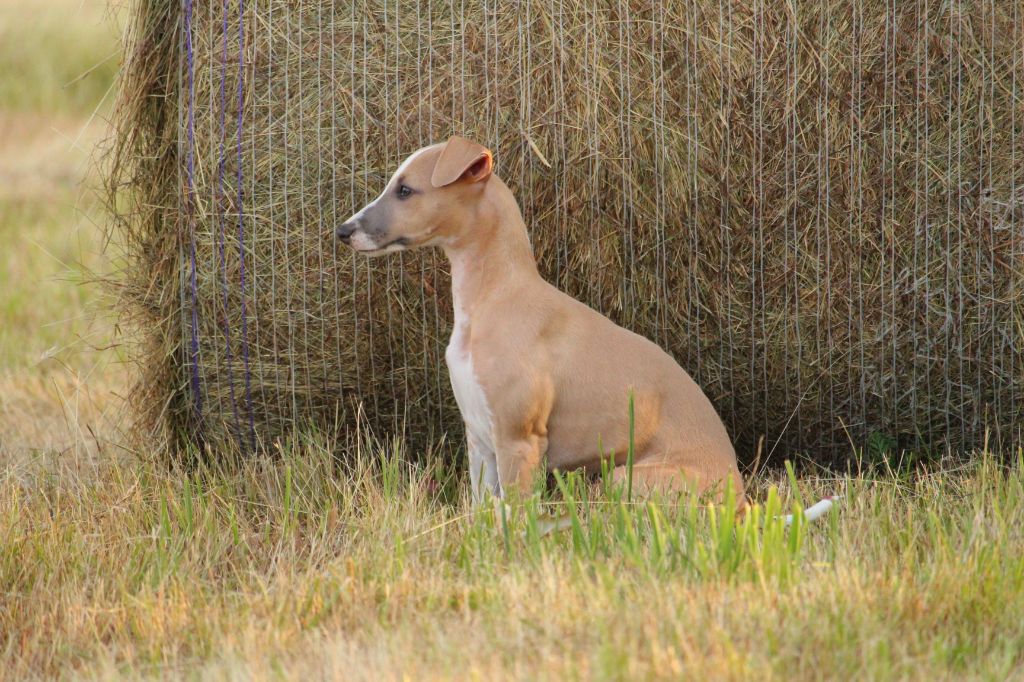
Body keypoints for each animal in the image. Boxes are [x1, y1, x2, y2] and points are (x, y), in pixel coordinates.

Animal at [335, 134, 745, 503]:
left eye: (405, 190)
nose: (343, 231)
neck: (493, 298)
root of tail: (741, 498)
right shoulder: (480, 437)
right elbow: (483, 509)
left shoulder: (518, 440)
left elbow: (516, 513)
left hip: (626, 478)